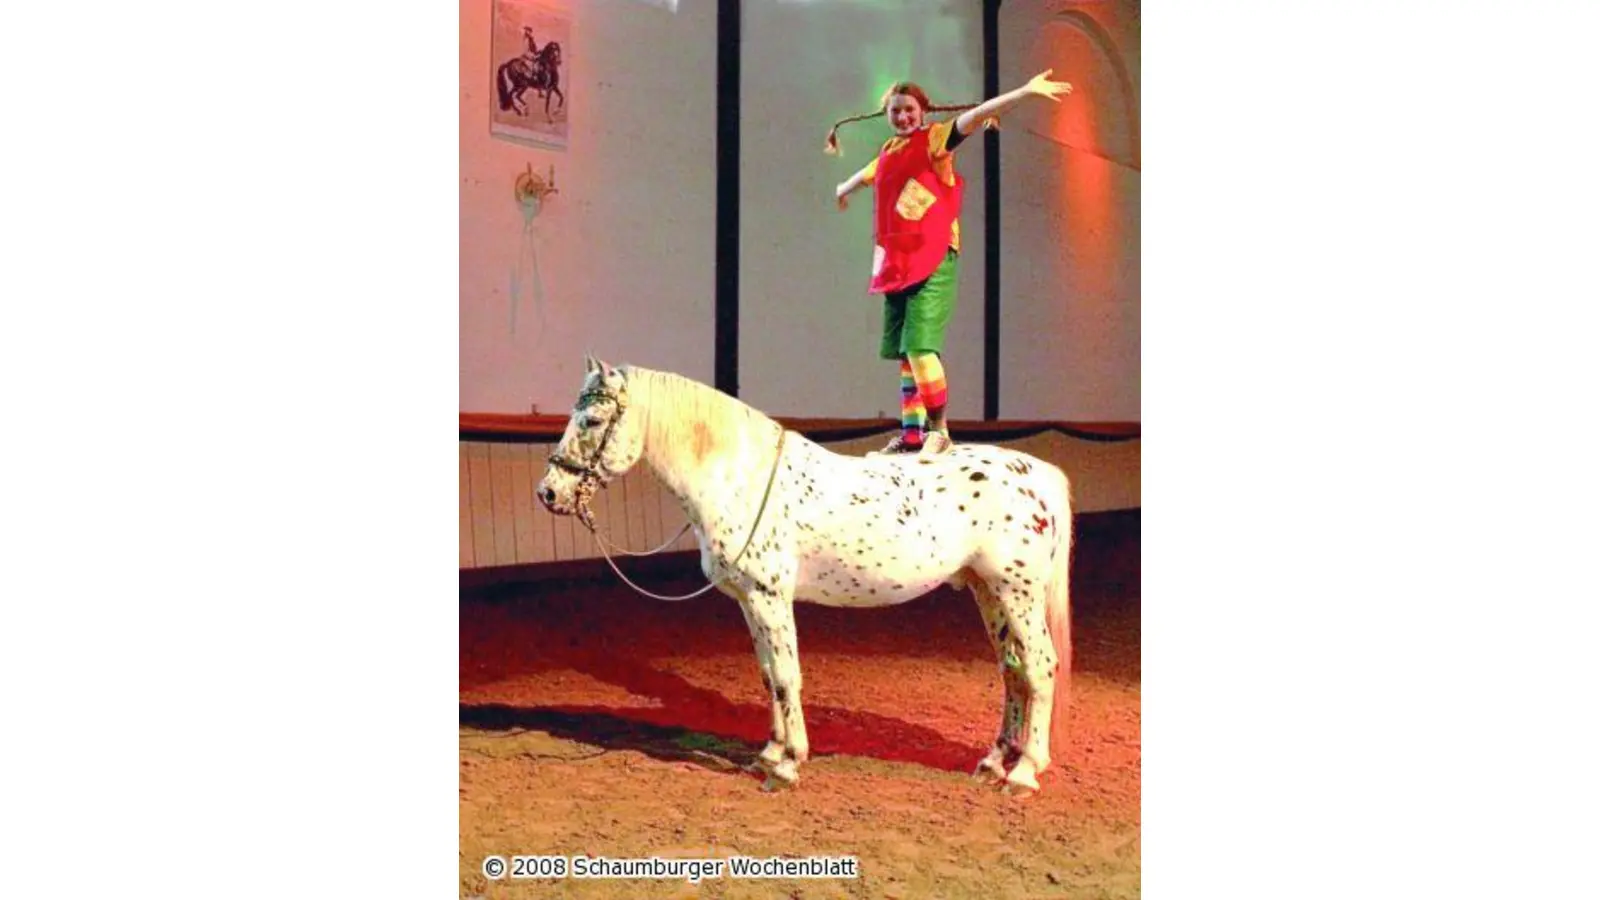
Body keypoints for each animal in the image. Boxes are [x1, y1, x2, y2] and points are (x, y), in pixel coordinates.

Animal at [537, 357, 1075, 791]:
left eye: (592, 419)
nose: (549, 492)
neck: (742, 478)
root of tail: (1037, 474)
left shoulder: (770, 597)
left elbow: (787, 675)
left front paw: (789, 764)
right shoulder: (749, 601)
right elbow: (768, 673)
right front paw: (770, 753)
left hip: (1018, 594)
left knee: (1041, 666)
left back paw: (1025, 772)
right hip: (989, 593)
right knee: (1013, 670)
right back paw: (993, 762)